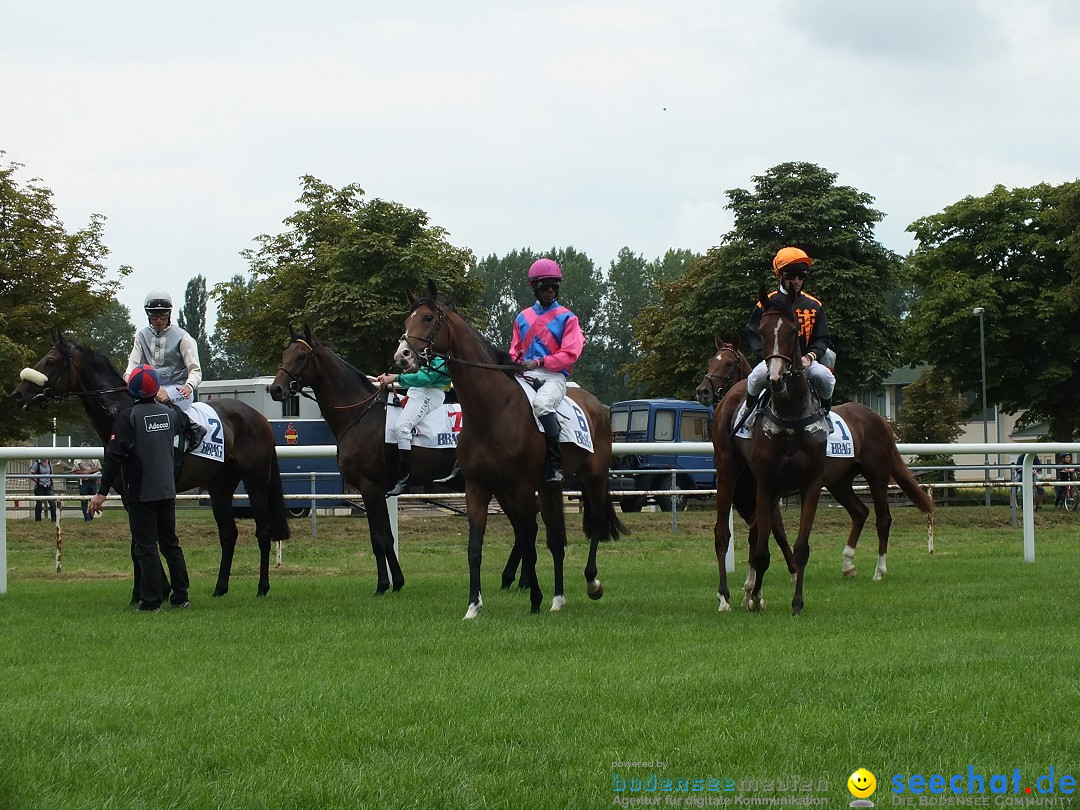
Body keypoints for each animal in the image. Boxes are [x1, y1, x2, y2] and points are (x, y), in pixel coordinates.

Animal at [13, 332, 291, 600]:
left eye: (50, 361)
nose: (18, 394)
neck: (123, 414)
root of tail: (259, 418)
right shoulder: (128, 495)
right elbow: (140, 542)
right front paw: (153, 590)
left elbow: (142, 542)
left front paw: (148, 592)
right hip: (220, 485)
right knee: (228, 533)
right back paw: (220, 588)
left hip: (256, 481)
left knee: (263, 531)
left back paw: (262, 587)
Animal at [270, 324, 460, 596]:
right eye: (285, 354)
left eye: (302, 356)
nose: (276, 389)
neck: (359, 414)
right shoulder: (377, 491)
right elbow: (387, 537)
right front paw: (397, 582)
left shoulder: (370, 488)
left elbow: (378, 539)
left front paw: (382, 585)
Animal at [395, 282, 626, 617]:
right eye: (406, 320)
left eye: (427, 318)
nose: (402, 356)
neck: (492, 411)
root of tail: (599, 406)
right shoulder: (478, 486)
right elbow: (475, 547)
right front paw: (473, 606)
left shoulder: (521, 487)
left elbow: (528, 543)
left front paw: (534, 600)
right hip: (550, 486)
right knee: (557, 539)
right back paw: (558, 599)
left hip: (593, 476)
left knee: (593, 523)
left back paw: (592, 582)